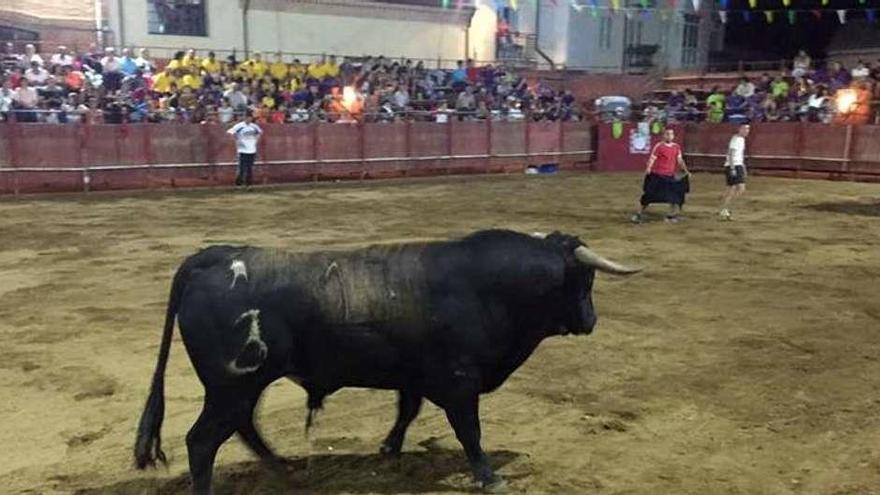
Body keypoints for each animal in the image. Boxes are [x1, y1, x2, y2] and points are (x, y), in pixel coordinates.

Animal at [132, 231, 640, 494]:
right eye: (585, 280)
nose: (591, 320)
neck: (488, 286)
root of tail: (215, 255)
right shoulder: (461, 381)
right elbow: (470, 432)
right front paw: (489, 476)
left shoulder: (414, 376)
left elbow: (407, 412)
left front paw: (390, 448)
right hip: (231, 386)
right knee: (202, 441)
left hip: (241, 387)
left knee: (243, 427)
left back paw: (284, 467)